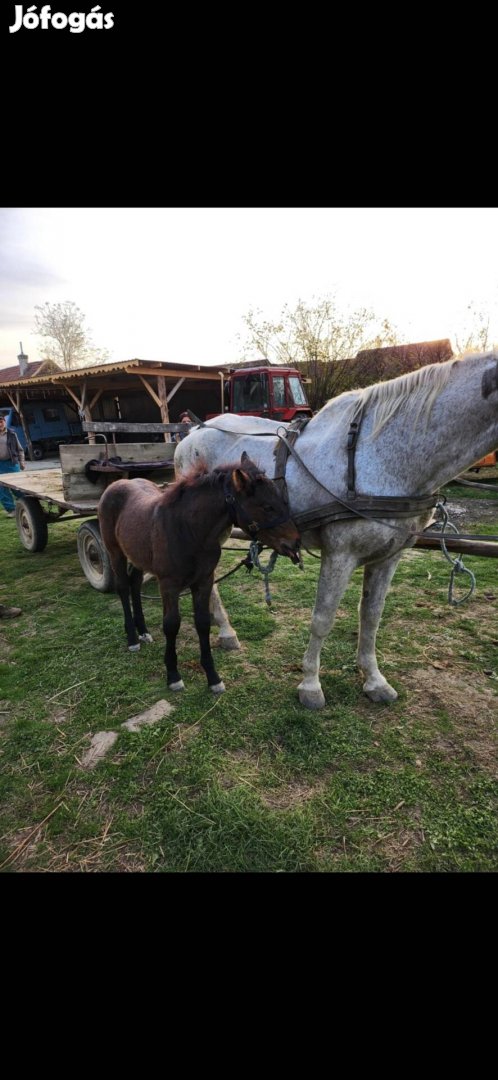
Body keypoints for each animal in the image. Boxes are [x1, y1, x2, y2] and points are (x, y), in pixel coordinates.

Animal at [173, 349, 496, 712]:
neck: (379, 455)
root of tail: (193, 432)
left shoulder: (389, 556)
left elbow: (371, 617)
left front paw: (374, 680)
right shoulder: (340, 555)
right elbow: (323, 619)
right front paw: (310, 685)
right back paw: (226, 632)